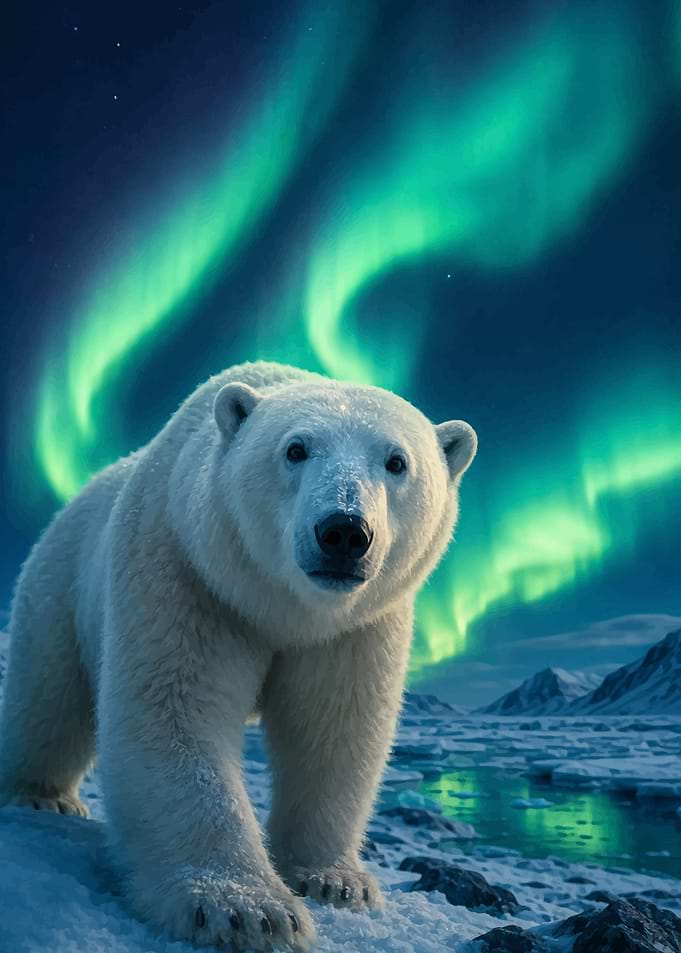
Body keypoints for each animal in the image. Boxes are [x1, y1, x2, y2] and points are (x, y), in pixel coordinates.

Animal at [0, 361, 476, 951]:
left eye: (396, 461)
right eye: (296, 448)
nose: (343, 531)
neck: (281, 607)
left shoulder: (355, 628)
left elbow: (336, 730)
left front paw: (333, 880)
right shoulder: (188, 571)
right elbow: (175, 712)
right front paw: (246, 909)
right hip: (60, 583)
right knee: (48, 698)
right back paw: (42, 794)